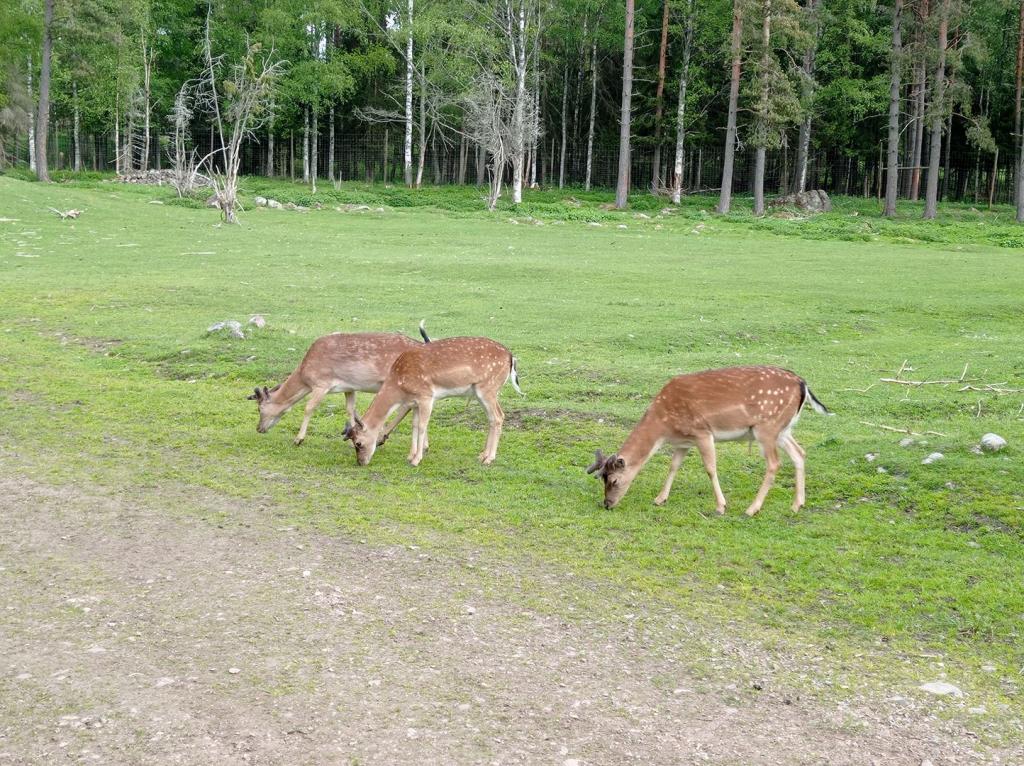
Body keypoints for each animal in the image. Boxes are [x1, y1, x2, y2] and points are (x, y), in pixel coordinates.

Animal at [252, 321, 436, 442]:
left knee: (408, 406)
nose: (259, 428)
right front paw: (350, 434)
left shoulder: (321, 384)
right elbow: (350, 408)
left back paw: (383, 437)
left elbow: (309, 407)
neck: (304, 375)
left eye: (260, 408)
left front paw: (298, 439)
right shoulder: (349, 387)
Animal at [344, 335, 524, 466]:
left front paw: (416, 460)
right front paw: (410, 456)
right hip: (484, 392)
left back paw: (489, 459)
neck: (398, 384)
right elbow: (414, 425)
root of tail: (511, 357)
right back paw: (482, 455)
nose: (361, 462)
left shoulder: (426, 396)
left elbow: (422, 426)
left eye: (358, 443)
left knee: (498, 416)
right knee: (493, 418)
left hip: (488, 388)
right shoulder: (415, 402)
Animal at [585, 366, 831, 514]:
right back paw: (797, 504)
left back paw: (752, 509)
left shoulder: (702, 431)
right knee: (799, 453)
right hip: (783, 430)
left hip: (766, 427)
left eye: (613, 480)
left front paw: (721, 506)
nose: (607, 504)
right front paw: (660, 499)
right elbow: (673, 466)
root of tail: (803, 384)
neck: (663, 427)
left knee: (774, 463)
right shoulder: (684, 441)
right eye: (602, 479)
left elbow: (710, 468)